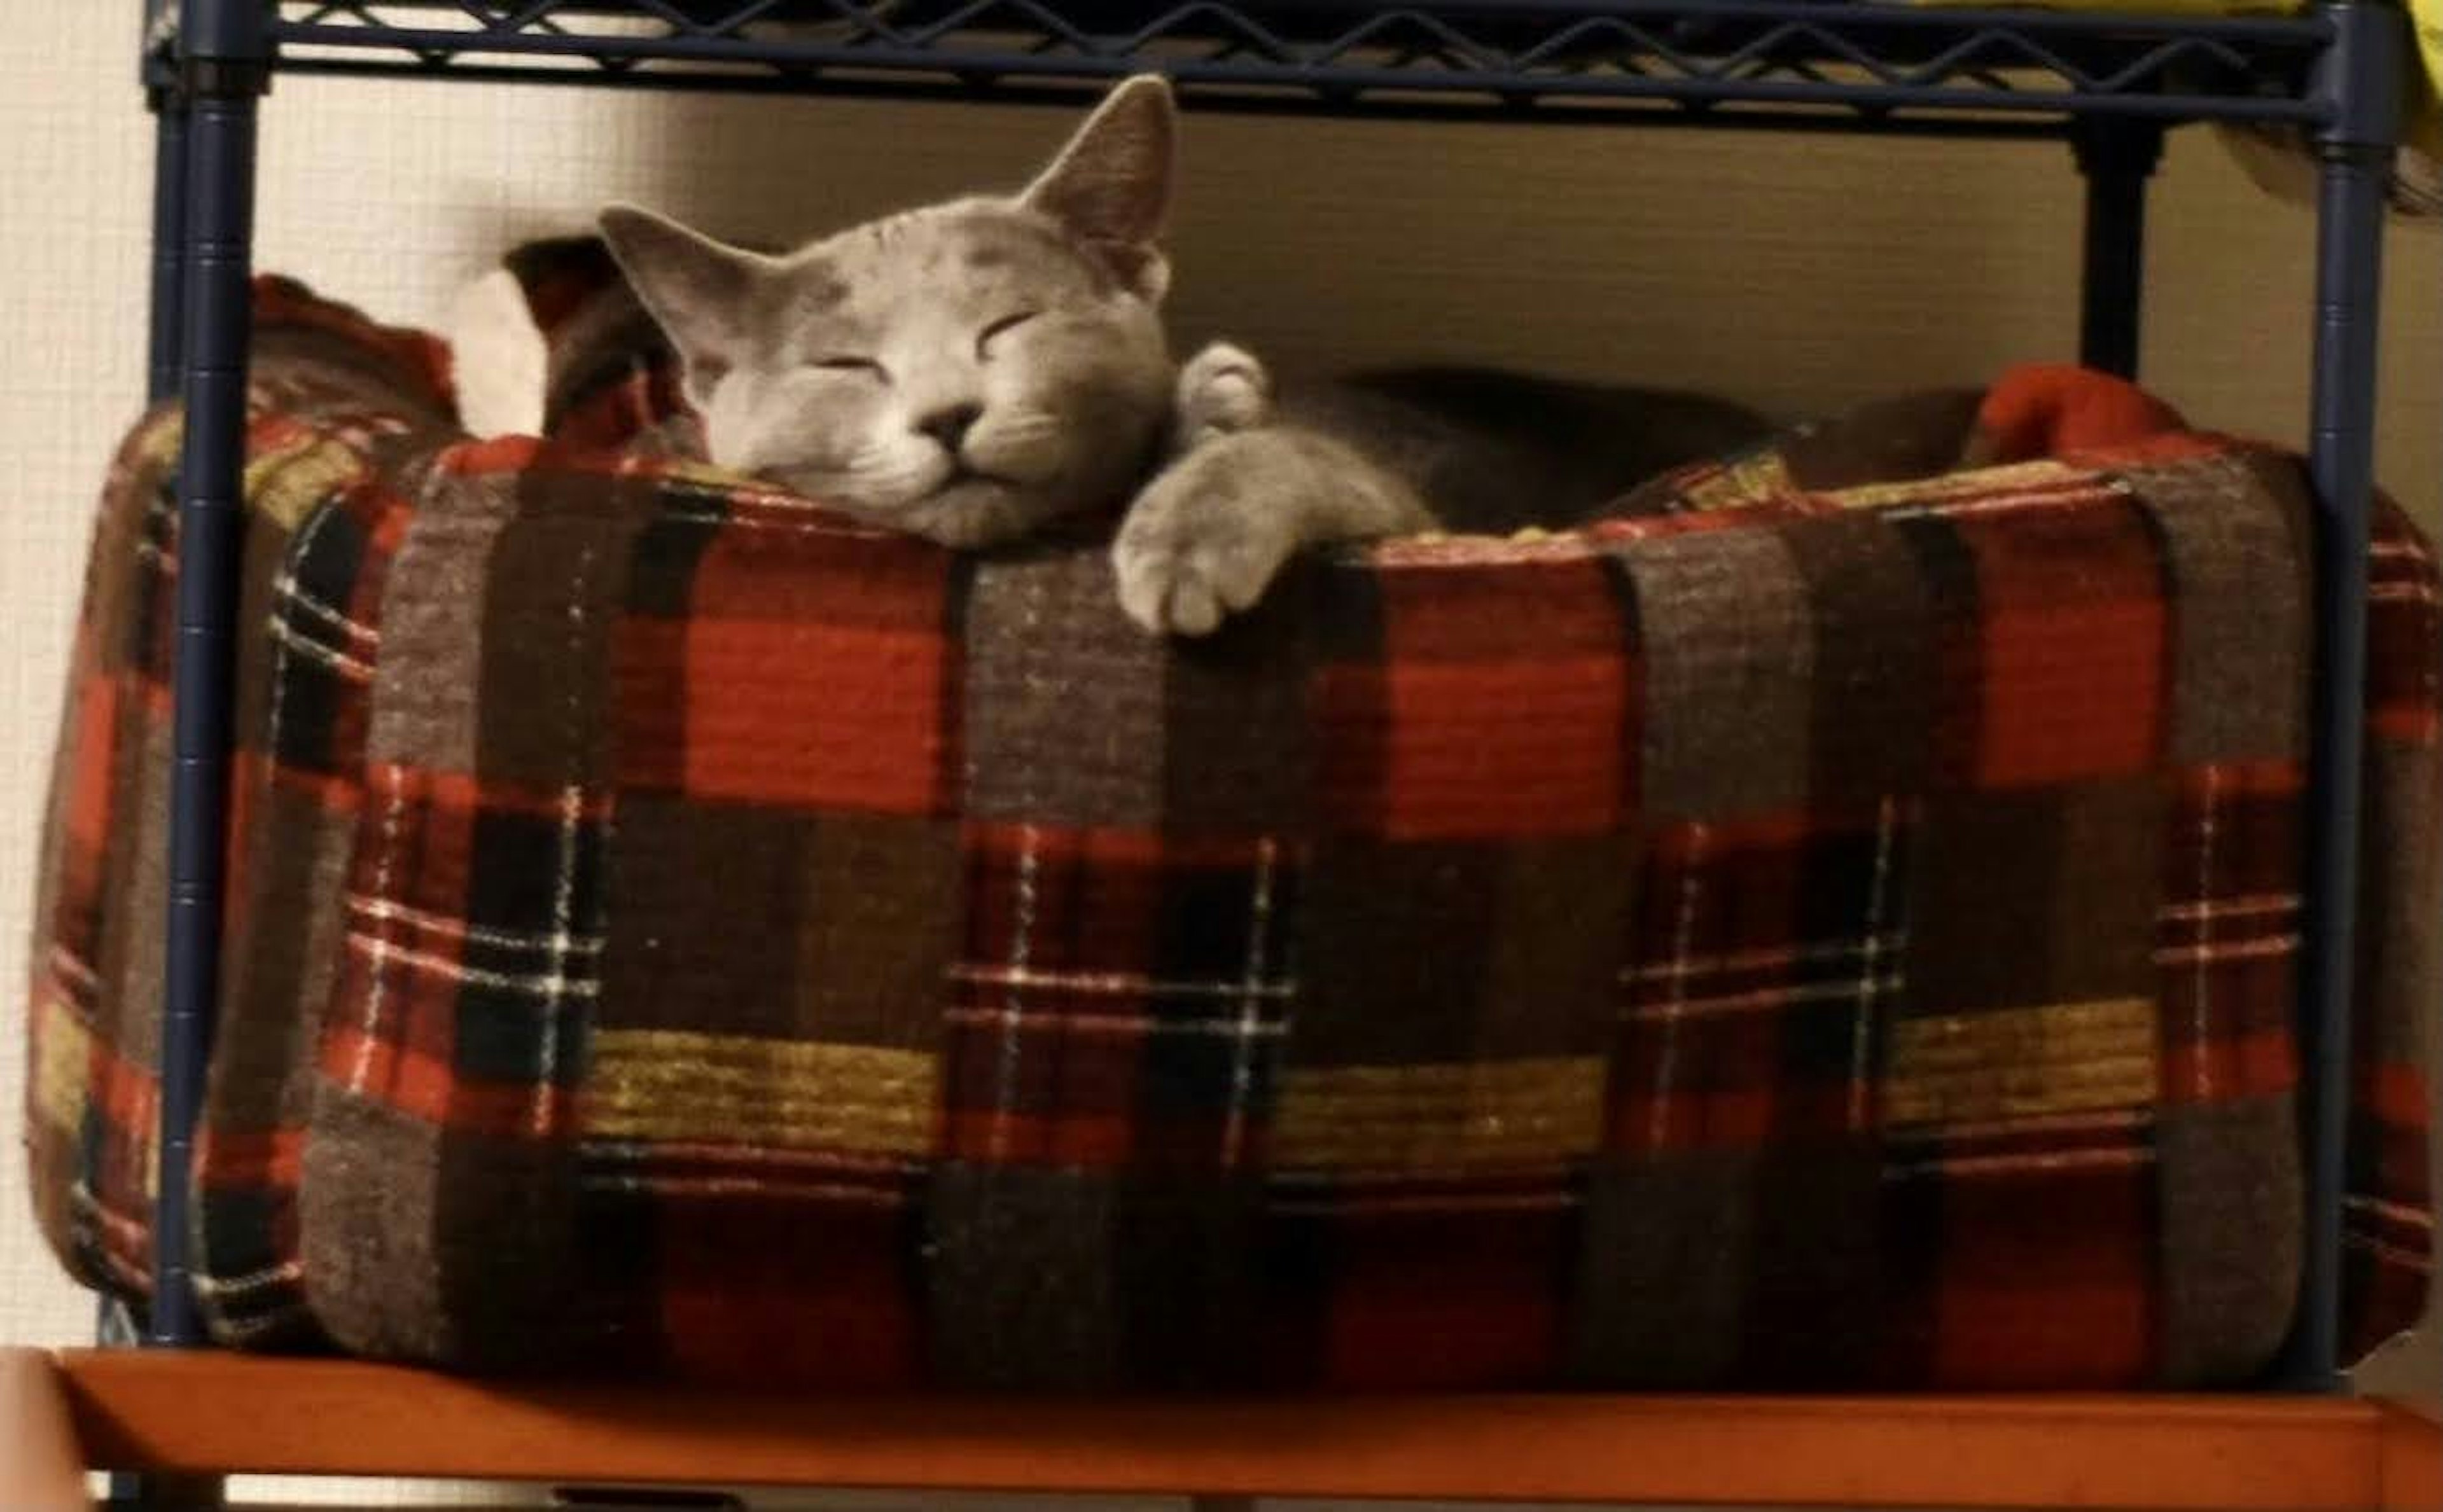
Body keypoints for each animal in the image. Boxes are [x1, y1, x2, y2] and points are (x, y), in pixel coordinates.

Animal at [595, 78, 1778, 635]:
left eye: (1008, 326)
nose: (947, 414)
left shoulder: (1394, 501)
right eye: (846, 367)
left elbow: (1269, 453)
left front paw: (1188, 528)